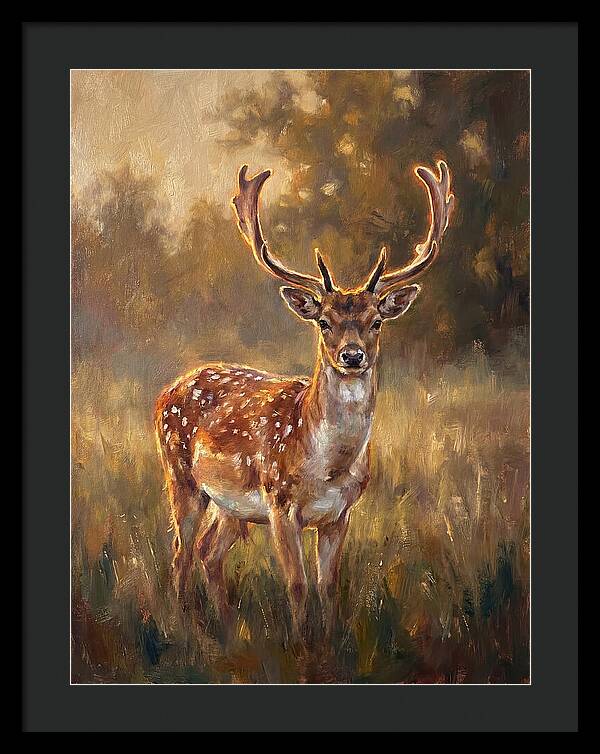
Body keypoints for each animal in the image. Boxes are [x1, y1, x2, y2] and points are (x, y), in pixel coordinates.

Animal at [155, 160, 454, 641]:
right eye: (324, 322)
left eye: (375, 321)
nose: (352, 356)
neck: (327, 468)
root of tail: (169, 389)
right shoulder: (280, 504)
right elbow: (296, 585)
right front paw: (300, 645)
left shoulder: (340, 514)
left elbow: (328, 585)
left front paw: (328, 642)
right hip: (181, 476)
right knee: (181, 552)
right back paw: (186, 627)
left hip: (230, 506)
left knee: (207, 551)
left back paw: (226, 627)